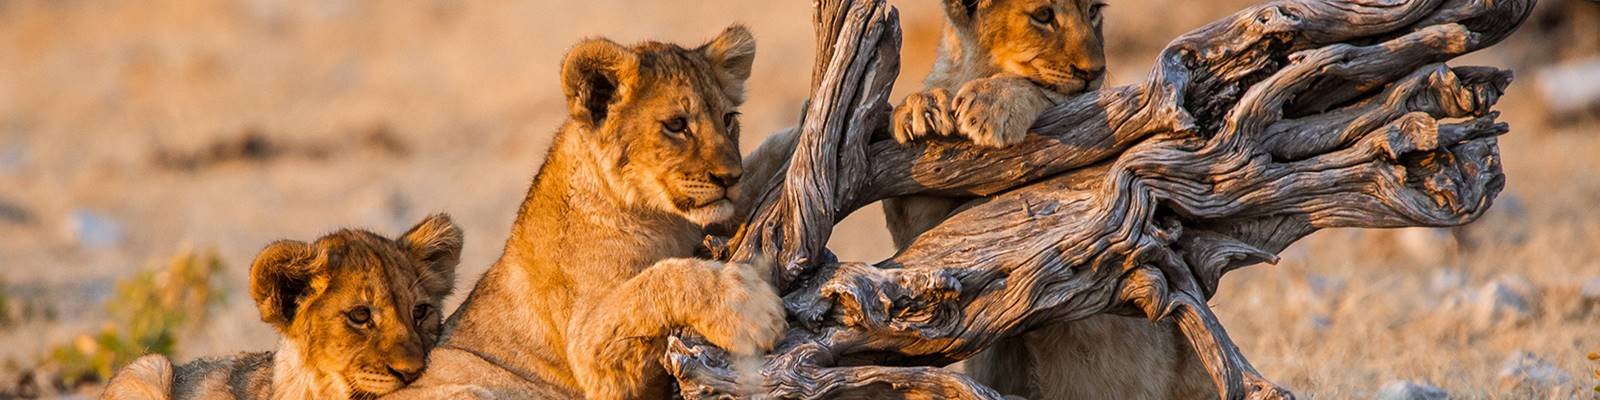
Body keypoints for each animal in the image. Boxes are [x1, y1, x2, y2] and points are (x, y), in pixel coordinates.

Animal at [383, 25, 785, 400]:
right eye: (676, 125)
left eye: (728, 118)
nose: (729, 177)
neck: (663, 218)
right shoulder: (590, 350)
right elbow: (662, 279)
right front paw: (752, 309)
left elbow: (757, 170)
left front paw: (789, 137)